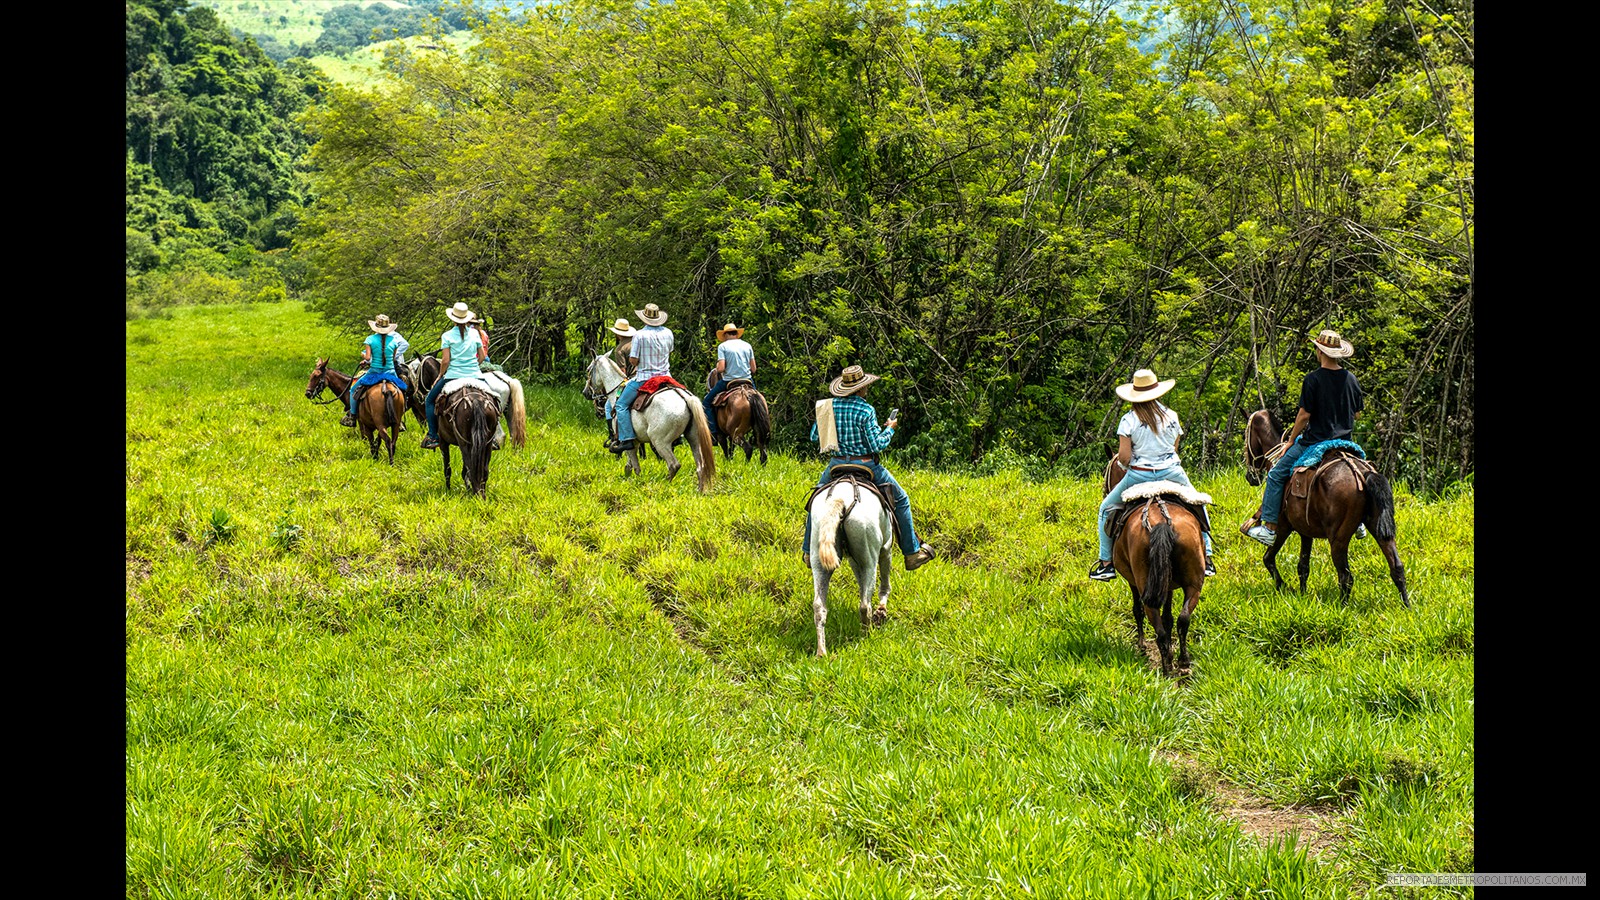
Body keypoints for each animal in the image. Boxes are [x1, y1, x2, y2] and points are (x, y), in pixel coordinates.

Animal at [585, 350, 716, 490]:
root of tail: (684, 397)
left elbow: (635, 467)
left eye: (588, 370)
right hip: (694, 438)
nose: (585, 392)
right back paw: (700, 490)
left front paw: (636, 484)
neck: (616, 394)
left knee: (674, 465)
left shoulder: (629, 441)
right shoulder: (635, 441)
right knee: (700, 466)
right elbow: (629, 466)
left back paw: (664, 485)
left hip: (660, 442)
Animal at [806, 474, 896, 656]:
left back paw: (821, 652)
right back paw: (867, 636)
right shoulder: (886, 548)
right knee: (865, 605)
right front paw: (881, 610)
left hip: (818, 559)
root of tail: (840, 499)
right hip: (869, 558)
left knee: (819, 606)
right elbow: (884, 583)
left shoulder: (854, 561)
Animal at [1113, 483, 1209, 672]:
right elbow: (1168, 618)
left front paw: (1141, 646)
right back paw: (1183, 662)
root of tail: (1162, 523)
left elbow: (1138, 610)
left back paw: (1167, 668)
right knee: (1183, 619)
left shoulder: (1132, 581)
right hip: (1193, 584)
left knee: (1156, 624)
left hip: (1145, 584)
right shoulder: (1166, 586)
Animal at [1241, 409, 1408, 605]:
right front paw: (1302, 595)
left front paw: (1285, 588)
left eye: (1246, 436)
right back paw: (1407, 606)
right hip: (1379, 527)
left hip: (1338, 538)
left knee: (1345, 576)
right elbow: (1303, 566)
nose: (1250, 477)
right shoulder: (1305, 531)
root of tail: (1362, 472)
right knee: (1397, 567)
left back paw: (1342, 607)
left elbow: (1268, 558)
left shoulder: (1283, 526)